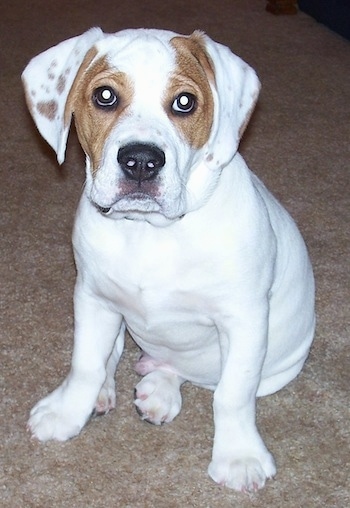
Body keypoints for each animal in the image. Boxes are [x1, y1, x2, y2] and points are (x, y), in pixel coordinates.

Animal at [23, 28, 316, 492]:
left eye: (184, 102)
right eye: (104, 95)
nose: (141, 161)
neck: (151, 232)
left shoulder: (245, 319)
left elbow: (233, 394)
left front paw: (239, 457)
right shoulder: (93, 297)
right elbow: (84, 363)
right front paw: (67, 411)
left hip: (279, 367)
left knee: (196, 373)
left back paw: (159, 389)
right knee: (118, 354)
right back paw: (113, 389)